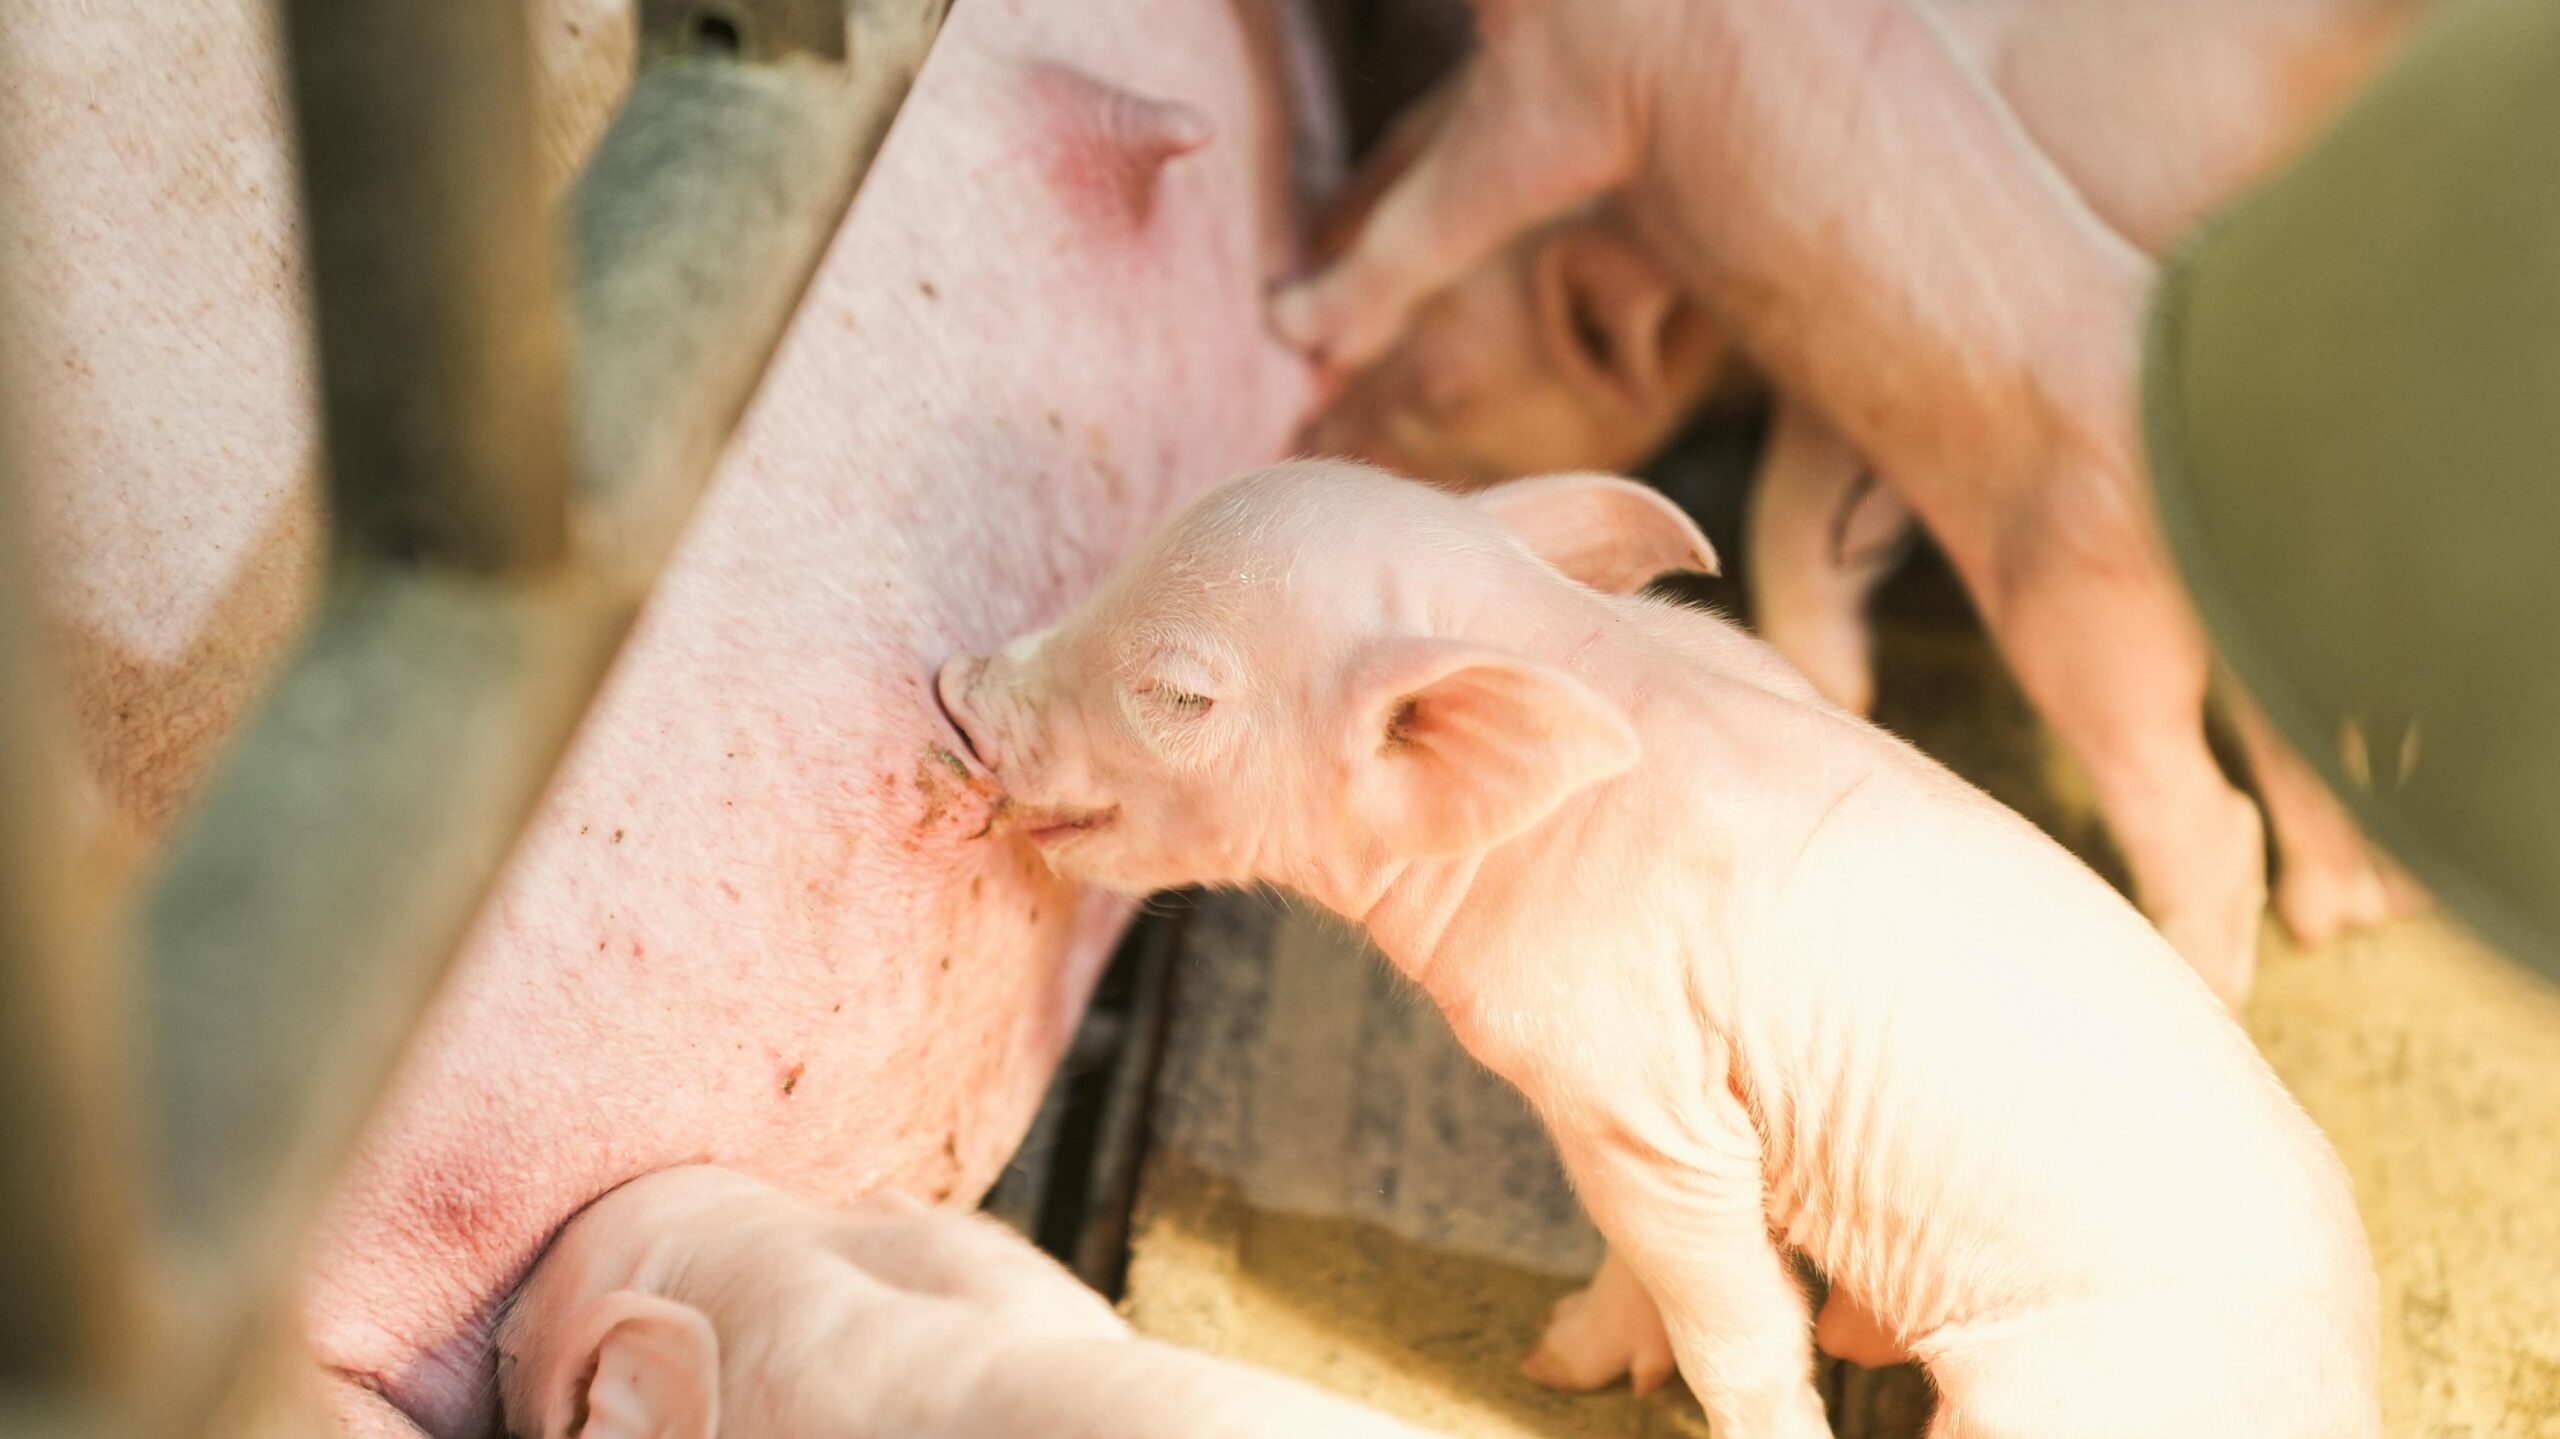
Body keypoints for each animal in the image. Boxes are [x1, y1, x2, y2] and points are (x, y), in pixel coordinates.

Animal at [937, 461, 2381, 1439]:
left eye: (1181, 692)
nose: (954, 684)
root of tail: (2354, 1394)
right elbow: (1641, 1257)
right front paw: (1562, 1359)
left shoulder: (1640, 1078)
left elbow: (1732, 1320)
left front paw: (1567, 1374)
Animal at [1273, 0, 2431, 1005]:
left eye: (1441, 397)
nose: (1300, 446)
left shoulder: (1571, 97)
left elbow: (1441, 220)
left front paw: (1297, 316)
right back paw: (2346, 910)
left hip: (2089, 637)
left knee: (2210, 817)